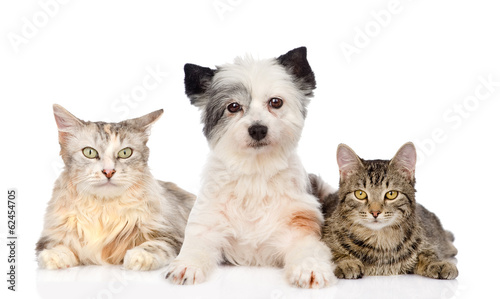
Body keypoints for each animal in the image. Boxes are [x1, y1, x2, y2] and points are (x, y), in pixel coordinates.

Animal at [35, 105, 194, 272]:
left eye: (125, 153)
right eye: (89, 152)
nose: (108, 171)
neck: (104, 211)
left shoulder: (173, 233)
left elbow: (156, 245)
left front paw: (140, 256)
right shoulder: (50, 236)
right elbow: (59, 246)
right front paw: (55, 255)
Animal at [165, 47, 336, 288]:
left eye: (275, 102)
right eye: (233, 106)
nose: (258, 129)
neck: (255, 175)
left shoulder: (300, 226)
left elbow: (308, 249)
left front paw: (309, 268)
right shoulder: (207, 223)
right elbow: (196, 245)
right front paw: (187, 264)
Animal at [314, 143, 458, 282]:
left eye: (391, 194)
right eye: (360, 194)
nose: (375, 212)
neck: (380, 241)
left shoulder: (425, 243)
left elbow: (427, 254)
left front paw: (438, 263)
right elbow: (332, 253)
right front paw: (347, 262)